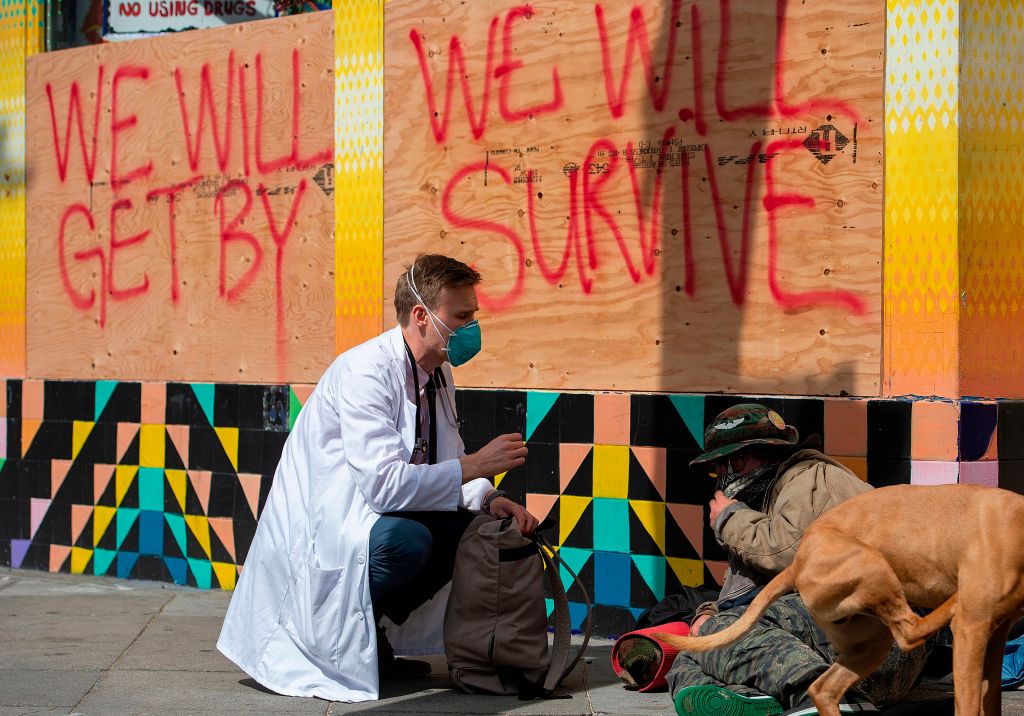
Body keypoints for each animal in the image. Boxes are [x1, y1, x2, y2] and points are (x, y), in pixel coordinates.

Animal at [655, 485, 1024, 716]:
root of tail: (798, 561)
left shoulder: (994, 636)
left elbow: (990, 699)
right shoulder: (973, 629)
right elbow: (969, 703)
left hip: (869, 642)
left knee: (824, 688)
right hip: (871, 565)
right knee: (909, 631)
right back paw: (950, 603)